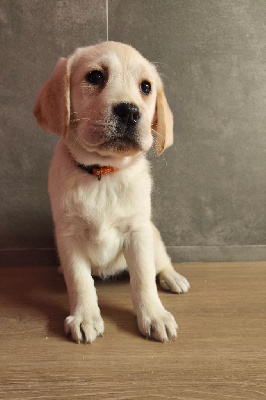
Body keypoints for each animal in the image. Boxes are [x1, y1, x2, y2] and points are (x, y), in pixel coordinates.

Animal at [33, 41, 189, 344]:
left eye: (146, 87)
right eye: (95, 77)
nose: (130, 111)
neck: (102, 174)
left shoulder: (138, 232)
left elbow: (143, 279)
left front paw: (154, 316)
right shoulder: (68, 236)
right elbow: (80, 281)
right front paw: (85, 317)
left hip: (153, 238)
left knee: (161, 263)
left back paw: (173, 278)